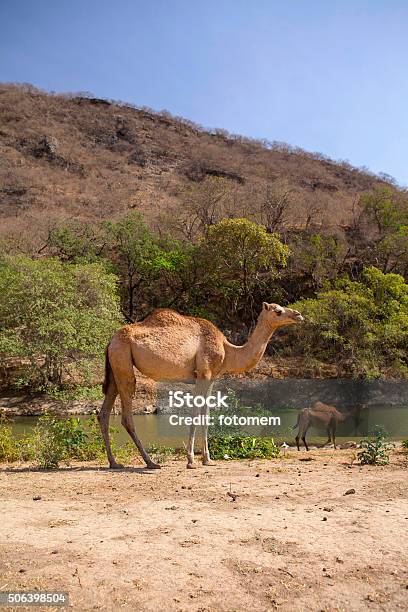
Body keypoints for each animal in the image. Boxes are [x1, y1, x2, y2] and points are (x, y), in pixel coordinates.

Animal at [98, 302, 302, 468]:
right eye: (278, 311)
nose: (298, 314)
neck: (228, 350)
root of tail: (110, 342)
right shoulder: (204, 373)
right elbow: (196, 413)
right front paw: (191, 460)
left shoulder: (212, 377)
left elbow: (206, 414)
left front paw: (207, 459)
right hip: (123, 360)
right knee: (126, 415)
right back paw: (151, 462)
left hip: (116, 366)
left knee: (104, 413)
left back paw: (114, 463)